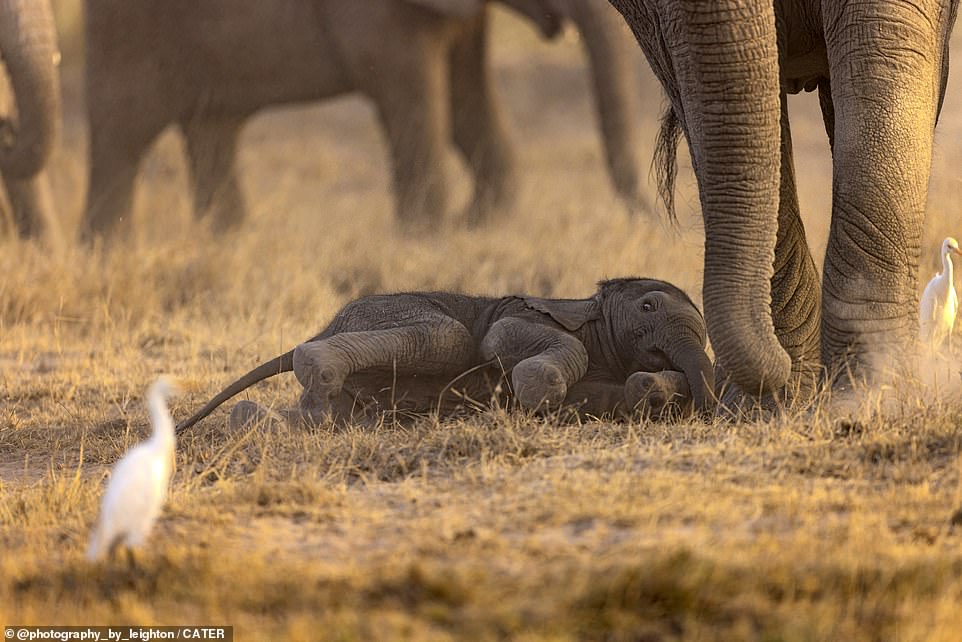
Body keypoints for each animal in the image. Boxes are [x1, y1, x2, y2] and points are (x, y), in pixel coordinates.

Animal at [79, 0, 640, 239]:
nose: (645, 219)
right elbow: (417, 100)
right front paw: (428, 237)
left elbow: (465, 101)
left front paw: (478, 226)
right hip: (129, 30)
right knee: (122, 134)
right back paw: (109, 250)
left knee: (214, 129)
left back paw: (227, 241)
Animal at [174, 276, 712, 430]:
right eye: (647, 306)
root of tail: (328, 324)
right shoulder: (530, 318)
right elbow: (501, 341)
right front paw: (537, 393)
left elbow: (610, 396)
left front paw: (651, 390)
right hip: (389, 315)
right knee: (448, 335)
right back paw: (314, 371)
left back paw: (261, 420)